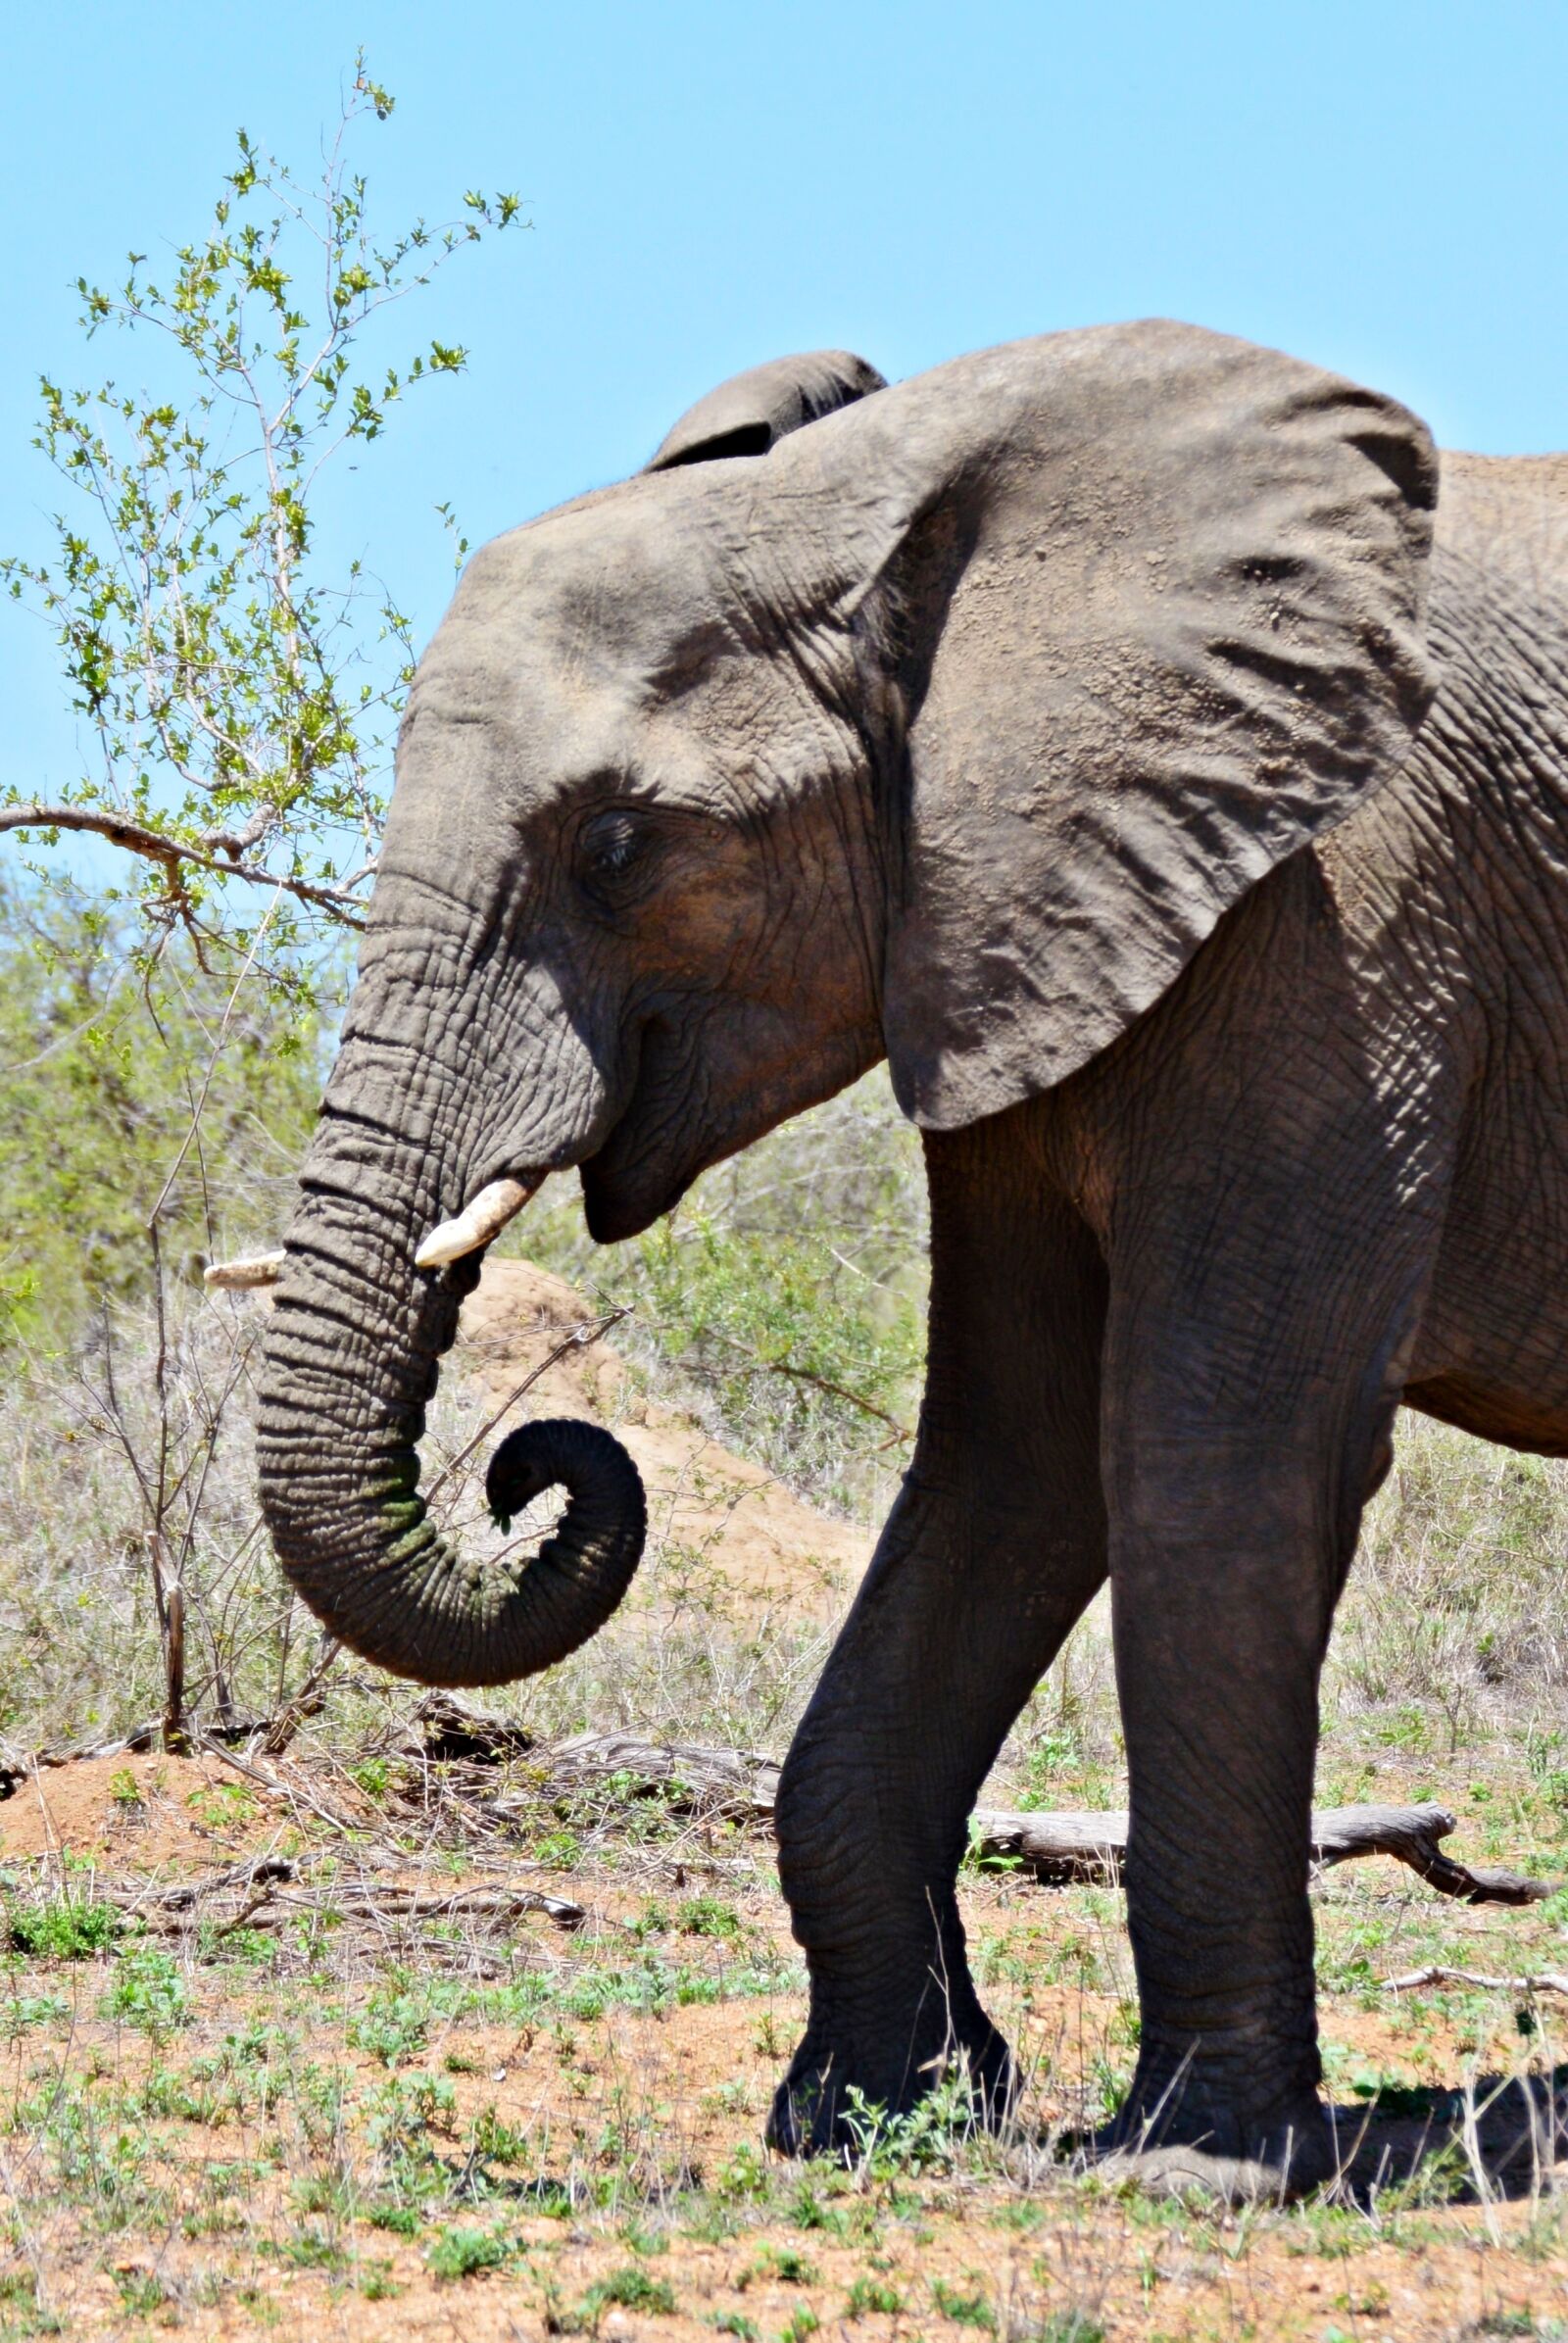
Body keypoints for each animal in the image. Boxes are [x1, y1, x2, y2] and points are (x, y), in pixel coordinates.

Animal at [256, 317, 1568, 2197]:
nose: (534, 1464)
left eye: (617, 847)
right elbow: (1012, 1460)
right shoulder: (1009, 920)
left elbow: (1214, 1452)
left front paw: (1192, 2164)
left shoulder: (1346, 919)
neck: (881, 516)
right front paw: (874, 2109)